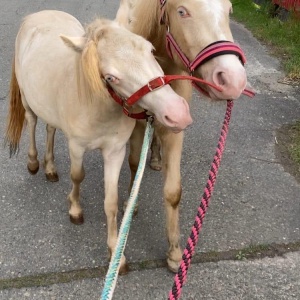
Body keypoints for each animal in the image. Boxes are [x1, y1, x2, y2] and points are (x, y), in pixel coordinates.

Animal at [4, 10, 192, 274]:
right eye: (112, 77)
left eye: (151, 50)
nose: (177, 113)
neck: (99, 105)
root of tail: (38, 14)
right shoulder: (76, 147)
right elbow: (77, 176)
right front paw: (75, 209)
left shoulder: (115, 152)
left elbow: (111, 202)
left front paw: (116, 254)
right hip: (27, 100)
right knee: (32, 123)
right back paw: (33, 163)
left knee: (50, 128)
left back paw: (50, 168)